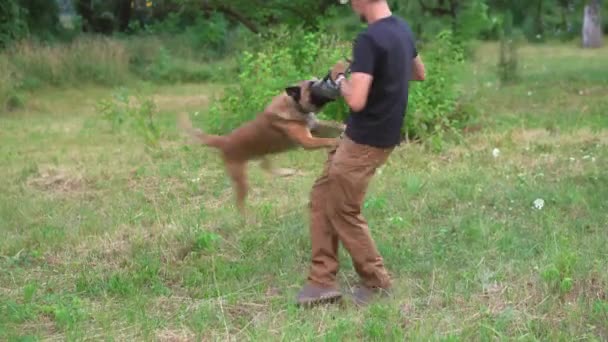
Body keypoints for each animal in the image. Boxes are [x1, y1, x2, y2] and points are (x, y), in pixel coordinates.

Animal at [178, 77, 346, 214]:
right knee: (240, 203)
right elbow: (325, 140)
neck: (293, 105)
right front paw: (337, 141)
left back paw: (286, 172)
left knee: (265, 167)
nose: (330, 81)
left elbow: (334, 125)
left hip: (262, 153)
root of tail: (224, 140)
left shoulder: (316, 127)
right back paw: (247, 219)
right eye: (312, 85)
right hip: (241, 178)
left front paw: (343, 128)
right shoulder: (307, 140)